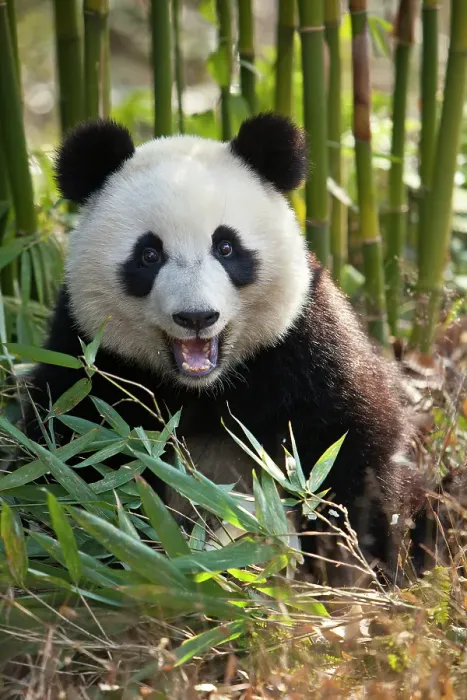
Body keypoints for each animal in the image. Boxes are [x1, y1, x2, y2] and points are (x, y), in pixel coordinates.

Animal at [21, 112, 416, 584]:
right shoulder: (90, 361)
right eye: (149, 254)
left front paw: (348, 567)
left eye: (226, 247)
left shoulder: (303, 346)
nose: (196, 317)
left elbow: (349, 449)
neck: (203, 387)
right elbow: (72, 461)